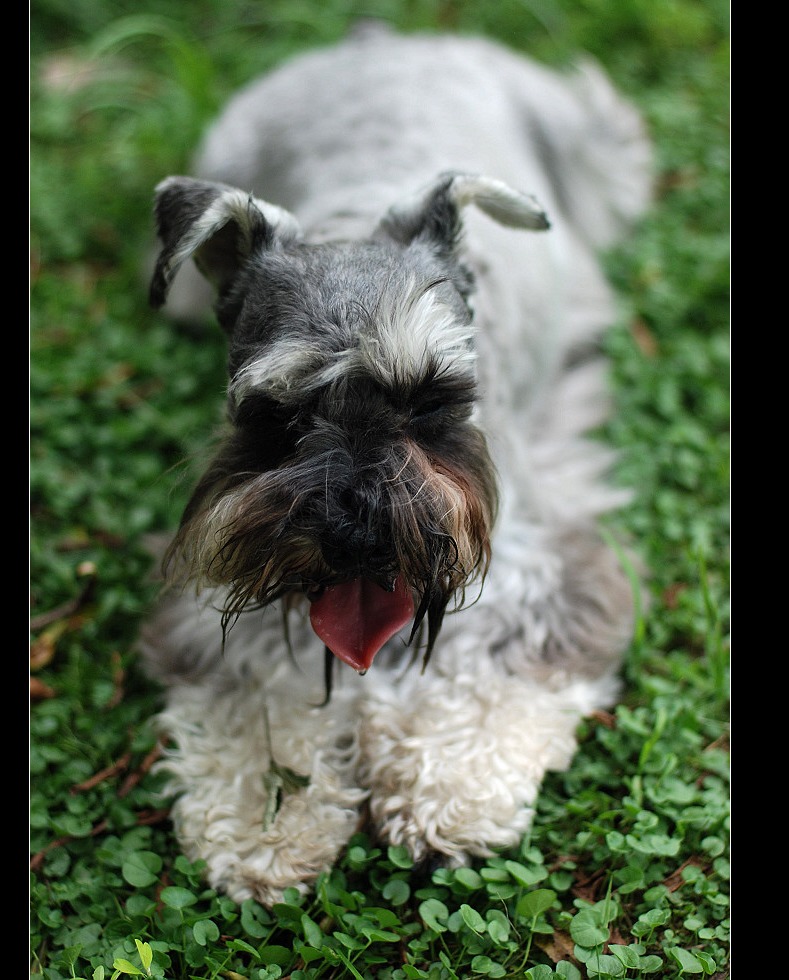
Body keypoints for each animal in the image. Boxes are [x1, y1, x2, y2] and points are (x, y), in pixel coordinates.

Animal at [139, 23, 648, 908]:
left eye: (432, 397)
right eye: (273, 412)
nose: (355, 537)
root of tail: (384, 37)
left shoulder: (538, 569)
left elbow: (493, 678)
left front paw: (450, 786)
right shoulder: (227, 588)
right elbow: (260, 693)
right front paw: (265, 819)